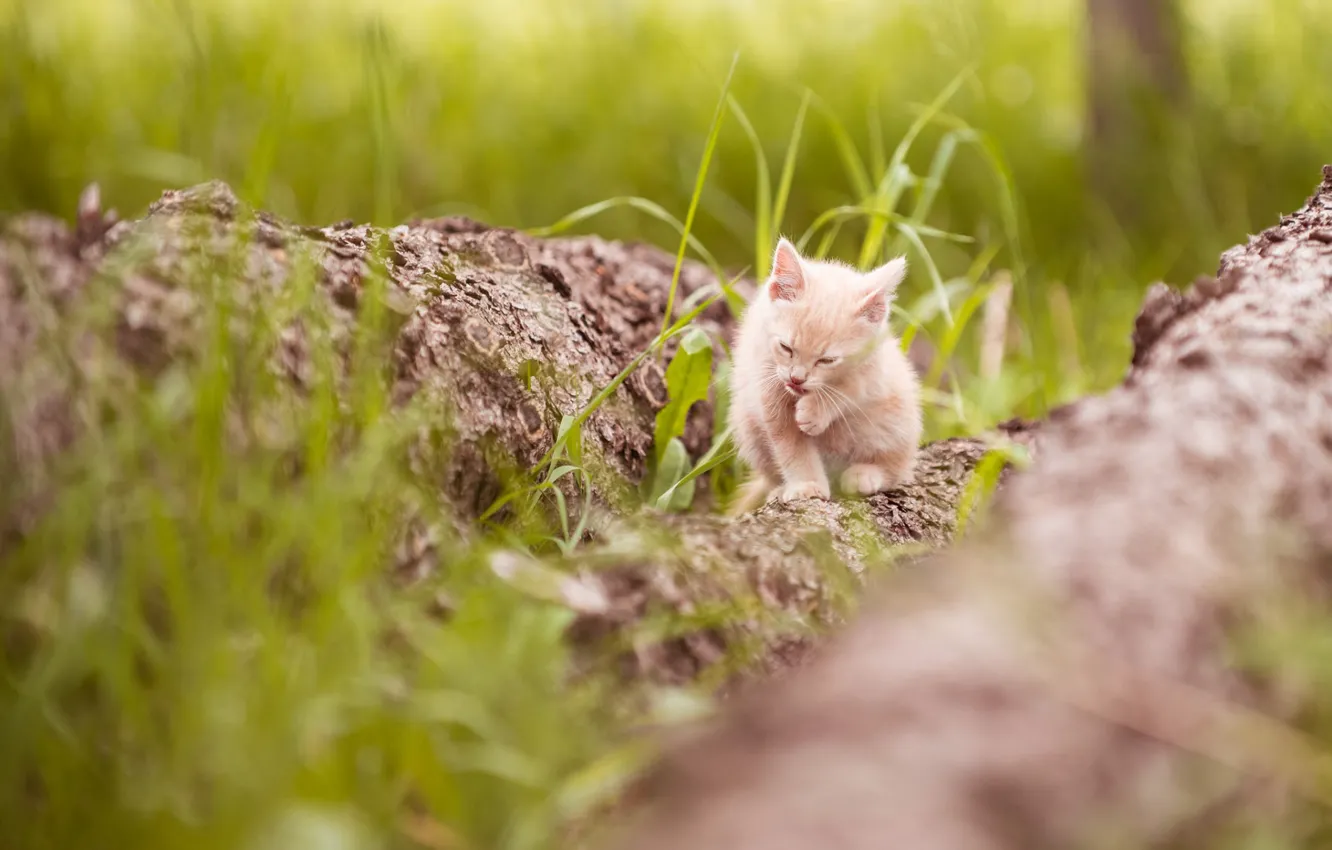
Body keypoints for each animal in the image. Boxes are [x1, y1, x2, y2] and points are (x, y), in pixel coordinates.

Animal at [724, 238, 921, 511]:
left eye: (826, 360)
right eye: (786, 347)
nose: (797, 378)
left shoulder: (875, 371)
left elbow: (851, 389)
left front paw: (816, 409)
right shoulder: (764, 376)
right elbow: (790, 445)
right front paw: (806, 485)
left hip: (898, 419)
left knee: (900, 467)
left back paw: (866, 474)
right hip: (747, 424)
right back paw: (779, 488)